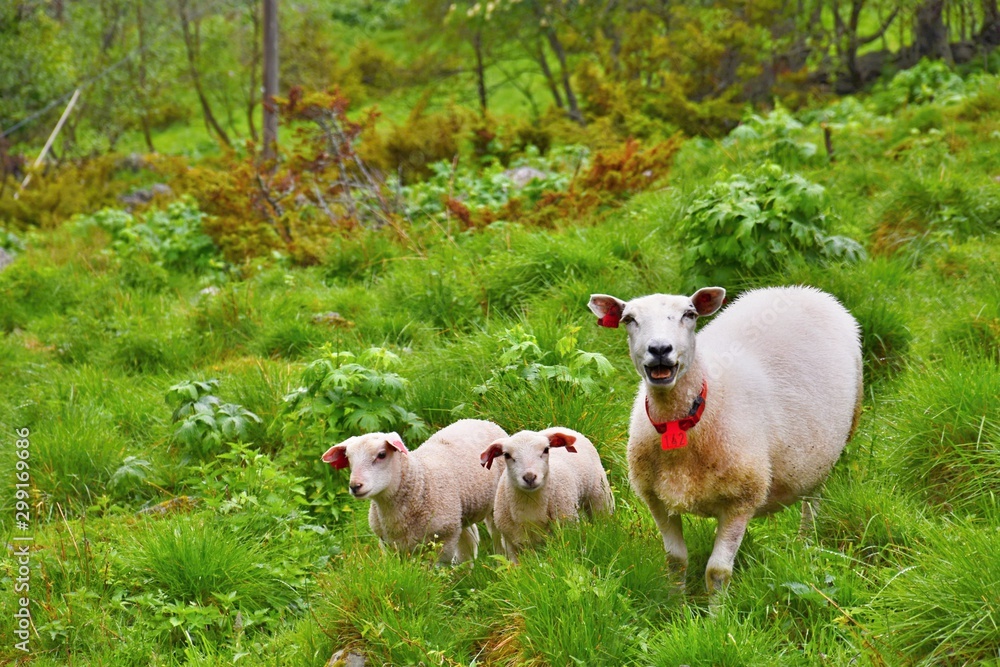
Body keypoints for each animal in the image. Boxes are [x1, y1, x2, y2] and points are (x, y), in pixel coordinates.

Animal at [321, 419, 508, 564]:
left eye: (381, 455)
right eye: (349, 459)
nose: (355, 486)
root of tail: (478, 420)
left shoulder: (444, 541)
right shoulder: (389, 545)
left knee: (496, 536)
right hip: (460, 514)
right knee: (469, 541)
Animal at [480, 427, 614, 563]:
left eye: (546, 450)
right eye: (507, 455)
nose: (529, 477)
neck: (530, 504)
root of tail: (562, 428)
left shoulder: (567, 531)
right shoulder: (511, 544)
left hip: (600, 496)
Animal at [588, 285, 862, 592]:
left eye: (690, 314)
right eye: (629, 319)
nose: (660, 349)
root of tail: (804, 290)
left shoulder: (741, 501)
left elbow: (717, 571)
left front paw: (716, 607)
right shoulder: (657, 500)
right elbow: (676, 561)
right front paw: (675, 601)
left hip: (833, 447)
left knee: (812, 503)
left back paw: (804, 544)